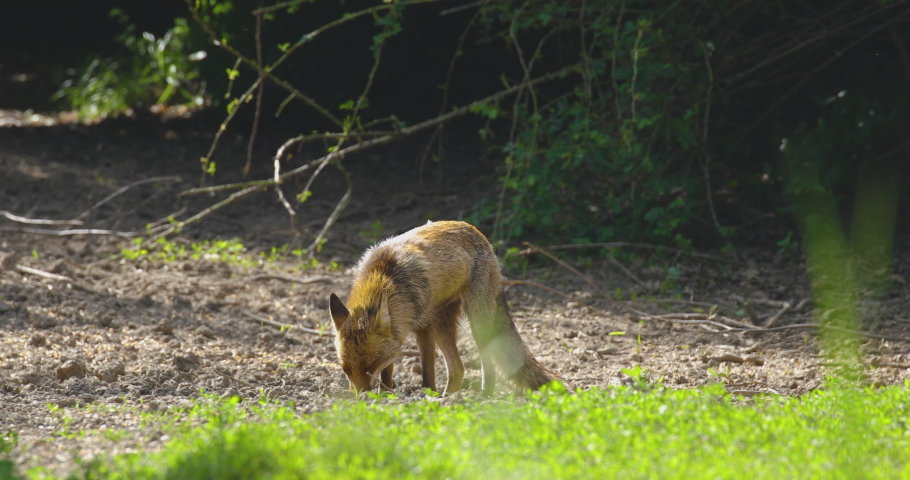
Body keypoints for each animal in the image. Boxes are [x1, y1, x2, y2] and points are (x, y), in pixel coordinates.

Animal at [328, 220, 557, 395]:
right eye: (345, 369)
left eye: (368, 367)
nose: (359, 397)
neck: (386, 277)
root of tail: (475, 230)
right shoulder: (396, 334)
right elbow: (387, 371)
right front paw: (385, 395)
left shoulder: (424, 326)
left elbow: (427, 371)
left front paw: (427, 395)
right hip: (443, 326)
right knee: (458, 369)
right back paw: (450, 397)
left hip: (476, 324)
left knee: (487, 366)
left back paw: (483, 396)